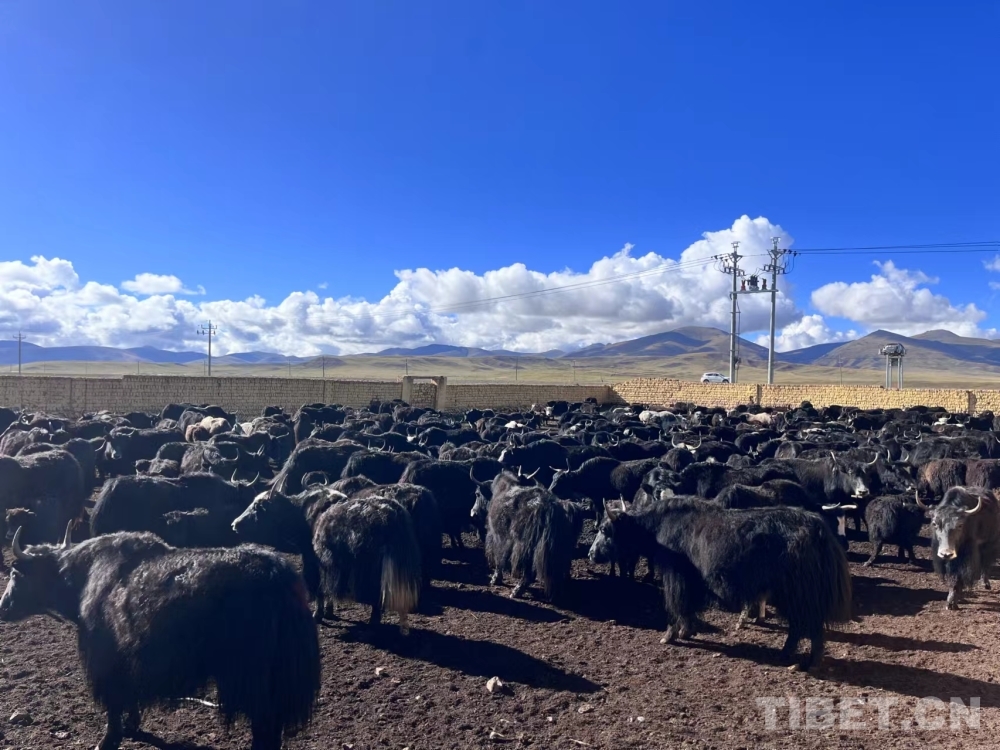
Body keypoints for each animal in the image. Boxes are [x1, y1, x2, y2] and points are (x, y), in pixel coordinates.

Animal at [0, 528, 320, 750]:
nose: (3, 607)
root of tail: (280, 578)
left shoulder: (105, 659)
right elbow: (129, 698)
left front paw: (107, 740)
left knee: (265, 729)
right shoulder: (128, 659)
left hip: (255, 681)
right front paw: (132, 726)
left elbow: (114, 702)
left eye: (15, 573)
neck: (84, 575)